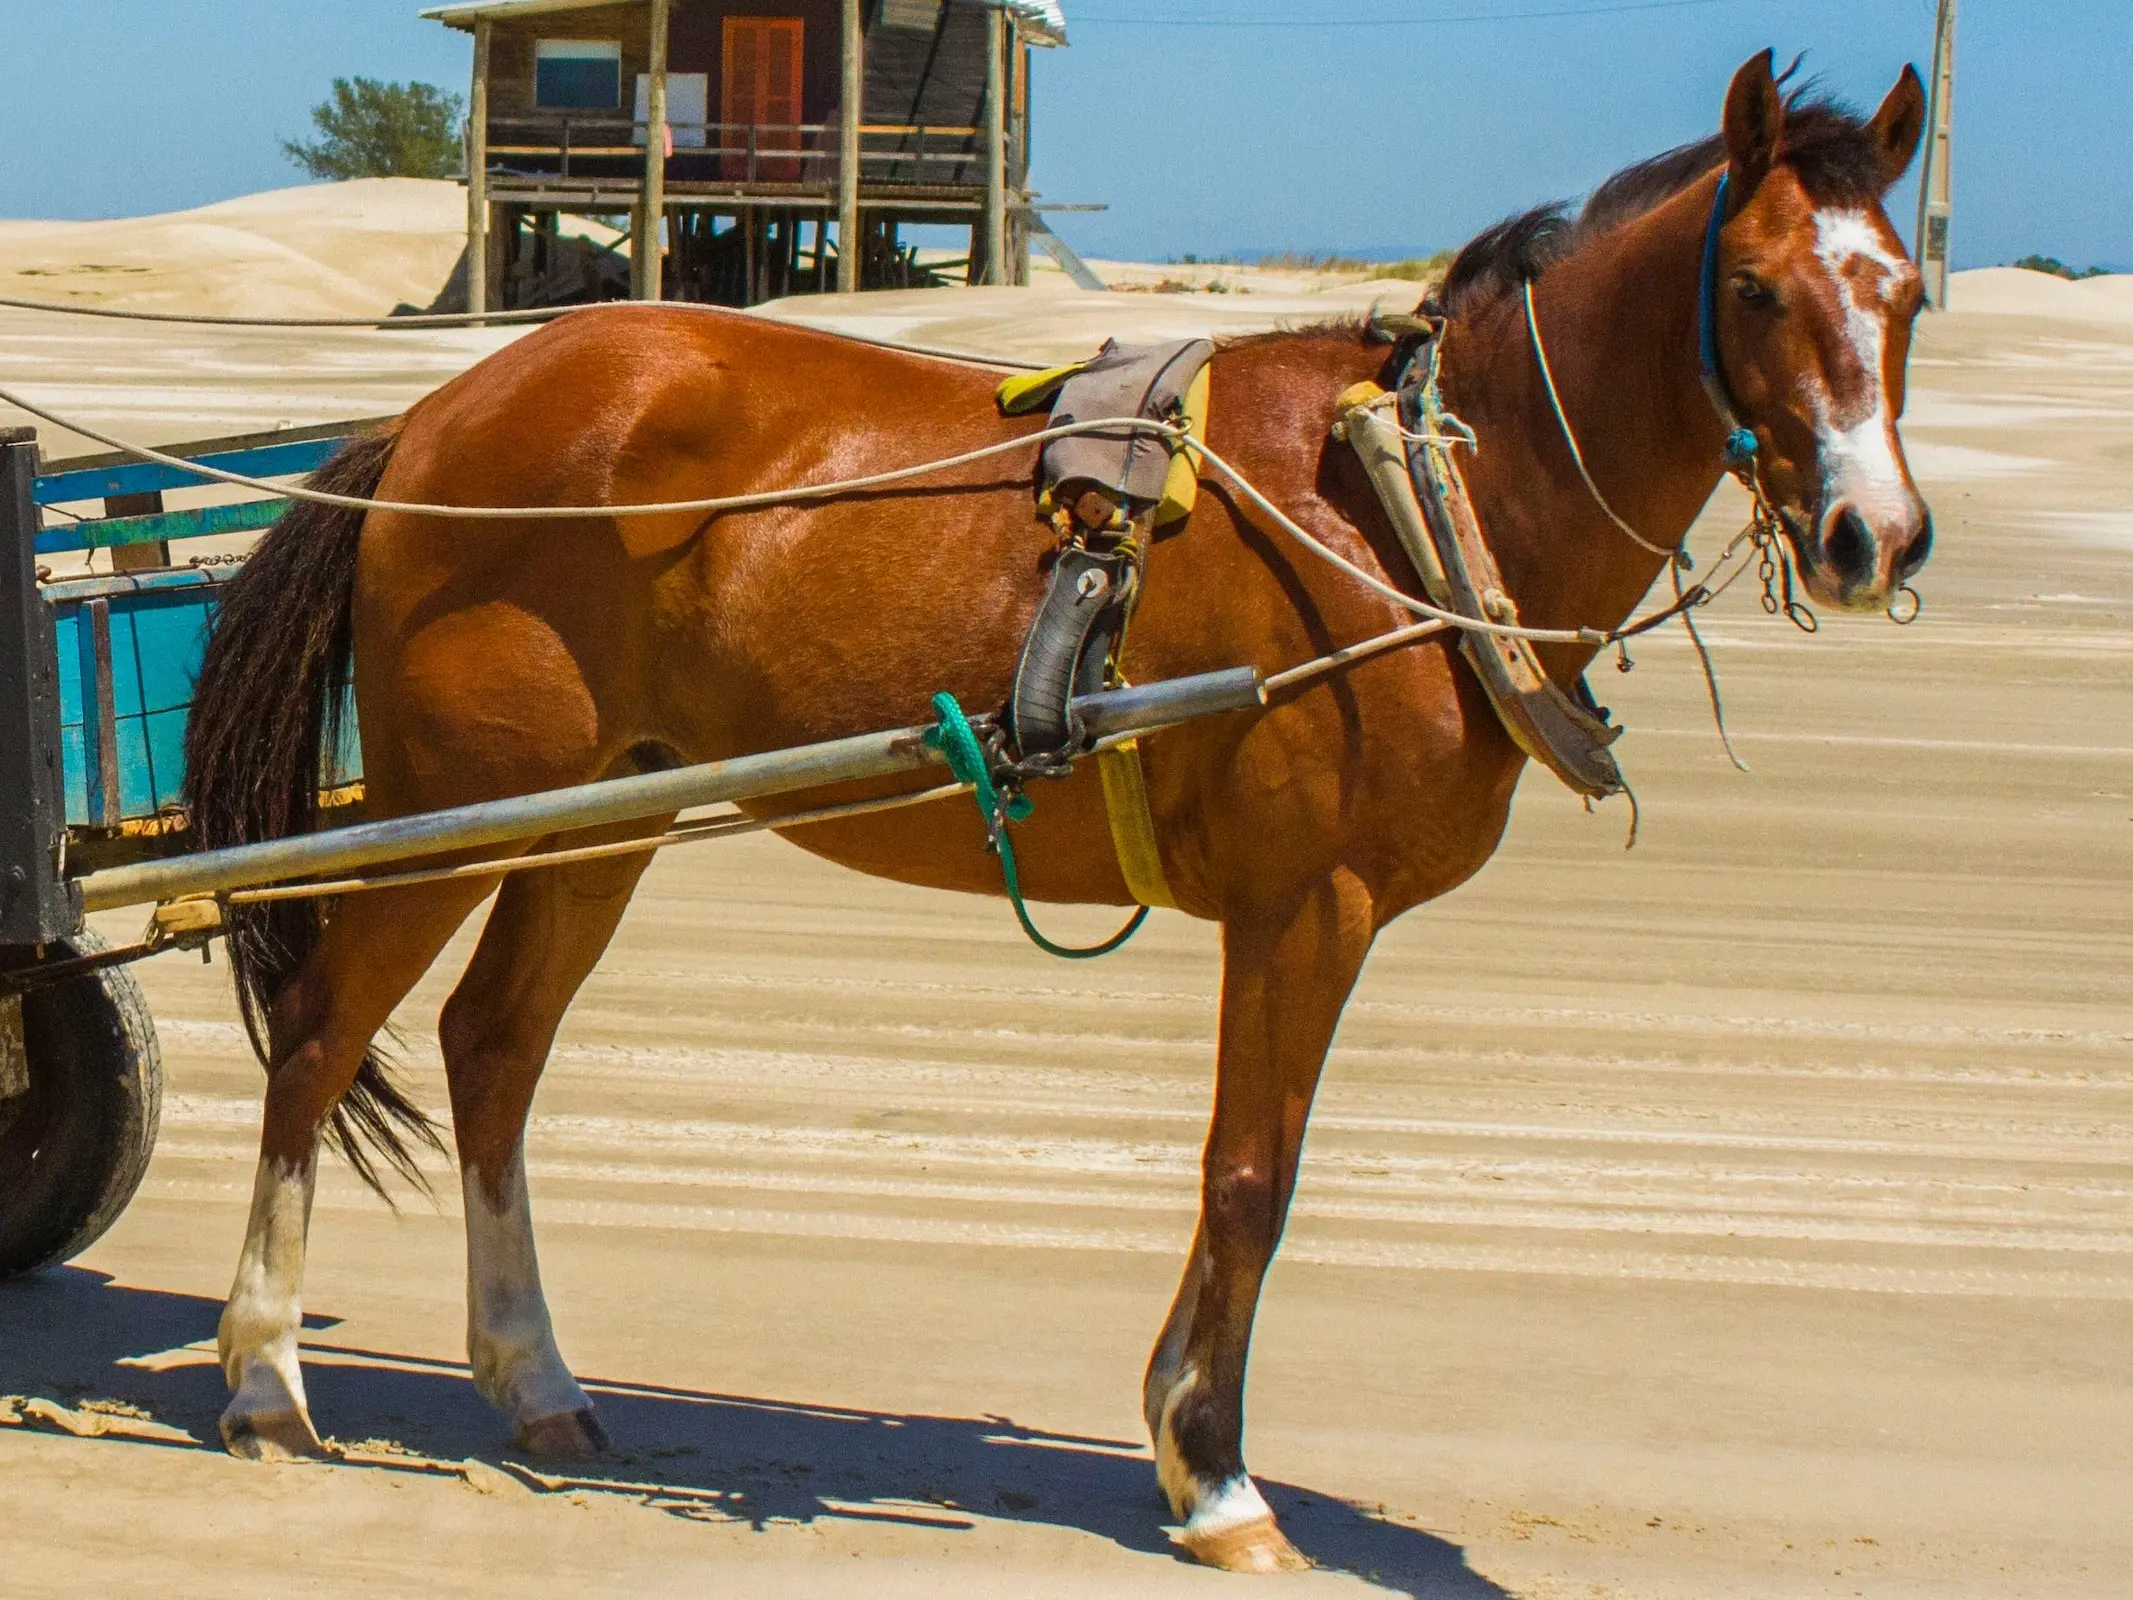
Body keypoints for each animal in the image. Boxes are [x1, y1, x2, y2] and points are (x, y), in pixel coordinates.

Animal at [187, 53, 1936, 1578]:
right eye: (1756, 289)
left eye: (1908, 294)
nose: (1877, 537)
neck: (1405, 499)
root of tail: (436, 416)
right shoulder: (1307, 906)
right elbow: (1251, 1181)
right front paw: (1216, 1475)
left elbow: (1247, 1177)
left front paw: (1178, 1435)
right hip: (455, 808)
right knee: (328, 1031)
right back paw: (264, 1376)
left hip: (598, 817)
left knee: (493, 1053)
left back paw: (533, 1379)